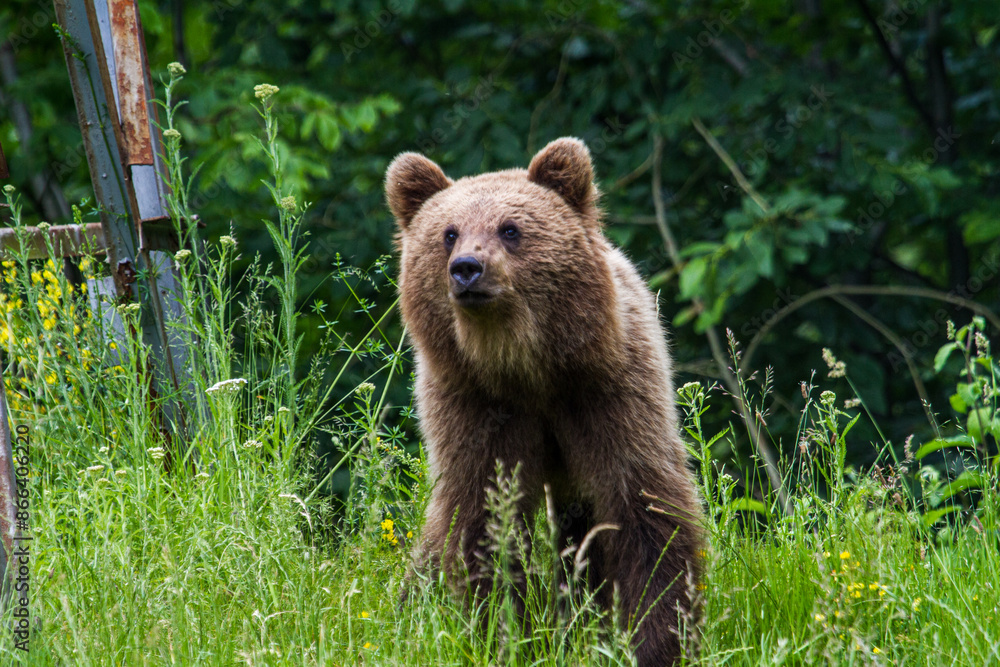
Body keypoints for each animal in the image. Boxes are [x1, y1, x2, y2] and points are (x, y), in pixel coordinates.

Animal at [386, 137, 705, 666]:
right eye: (449, 233)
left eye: (510, 229)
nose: (467, 269)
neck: (525, 368)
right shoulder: (475, 405)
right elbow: (483, 515)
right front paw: (501, 631)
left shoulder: (606, 392)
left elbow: (644, 507)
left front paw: (658, 638)